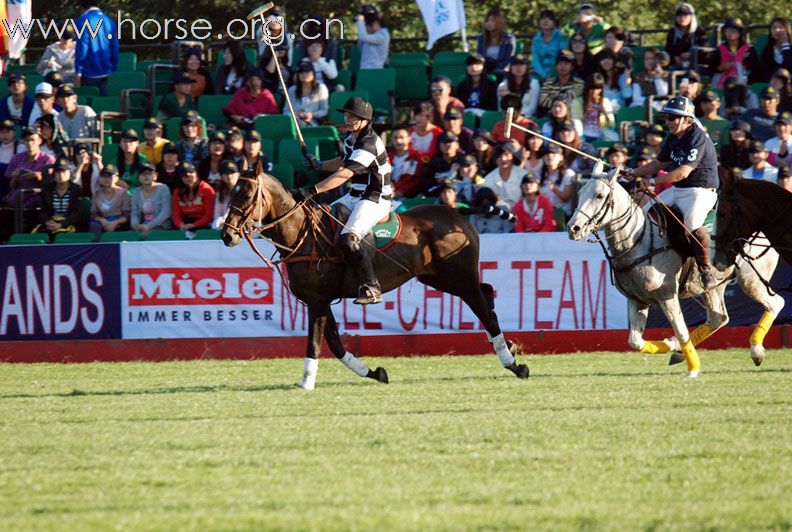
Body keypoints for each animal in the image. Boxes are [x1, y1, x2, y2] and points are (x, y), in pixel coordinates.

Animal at [218, 172, 524, 388]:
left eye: (247, 196)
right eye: (231, 193)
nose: (227, 235)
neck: (301, 236)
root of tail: (456, 212)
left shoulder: (317, 300)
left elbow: (316, 342)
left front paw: (306, 382)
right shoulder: (319, 300)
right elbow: (336, 344)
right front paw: (375, 373)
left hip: (459, 277)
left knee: (485, 310)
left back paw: (513, 363)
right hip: (438, 278)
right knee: (487, 291)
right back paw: (509, 346)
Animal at [568, 166, 784, 378]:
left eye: (599, 195)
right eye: (579, 193)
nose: (573, 228)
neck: (637, 241)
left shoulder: (667, 295)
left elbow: (681, 331)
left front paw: (693, 368)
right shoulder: (636, 299)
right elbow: (635, 341)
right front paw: (671, 345)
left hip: (751, 278)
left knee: (775, 303)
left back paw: (756, 350)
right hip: (715, 285)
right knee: (718, 317)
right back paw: (679, 352)